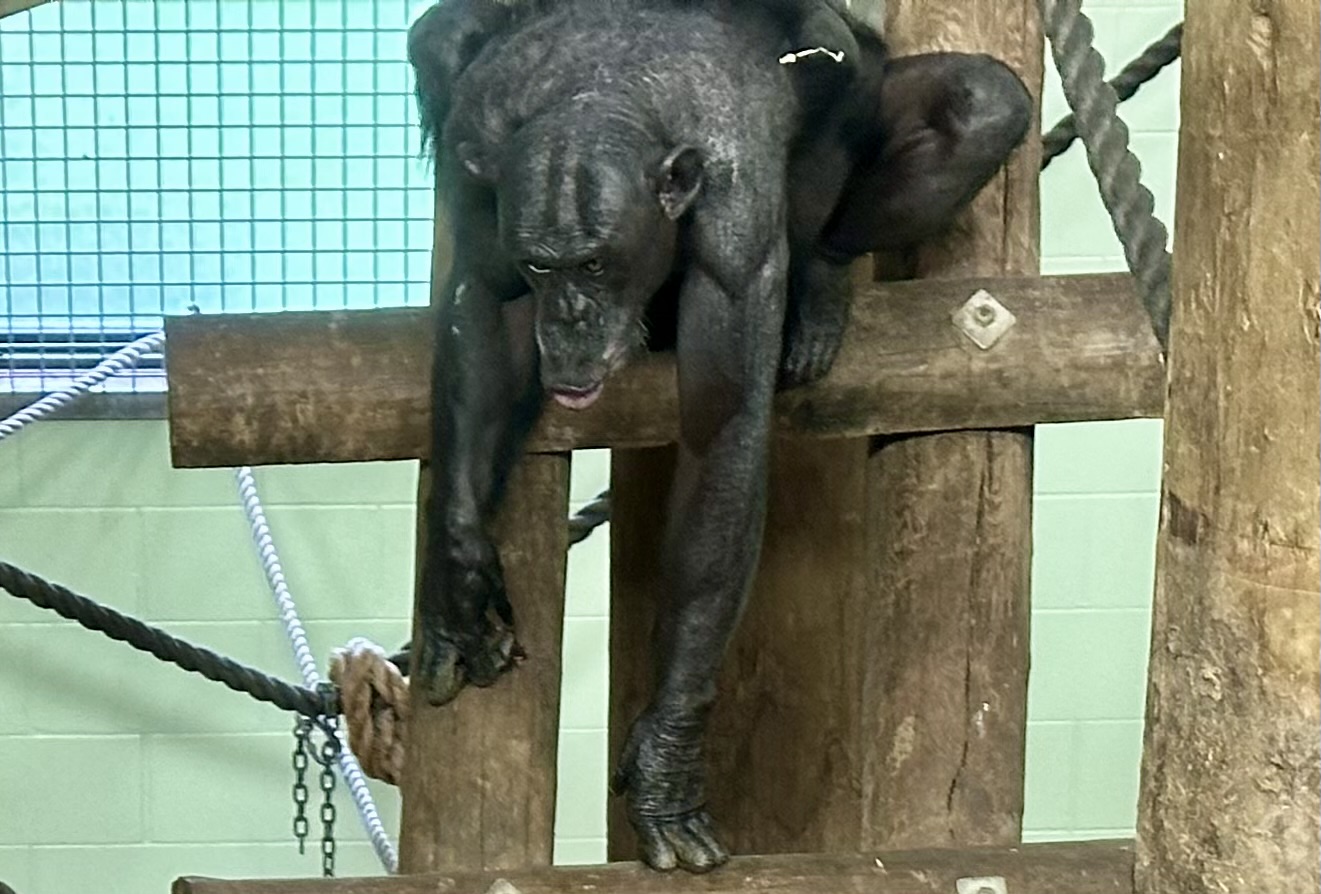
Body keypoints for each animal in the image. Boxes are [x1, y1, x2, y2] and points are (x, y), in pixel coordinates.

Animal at [405, 0, 1031, 873]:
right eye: (542, 265)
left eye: (593, 264)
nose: (569, 318)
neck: (600, 89)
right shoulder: (477, 163)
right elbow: (483, 303)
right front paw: (458, 578)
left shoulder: (735, 238)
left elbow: (721, 439)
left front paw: (666, 761)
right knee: (436, 44)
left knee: (976, 104)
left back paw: (819, 287)